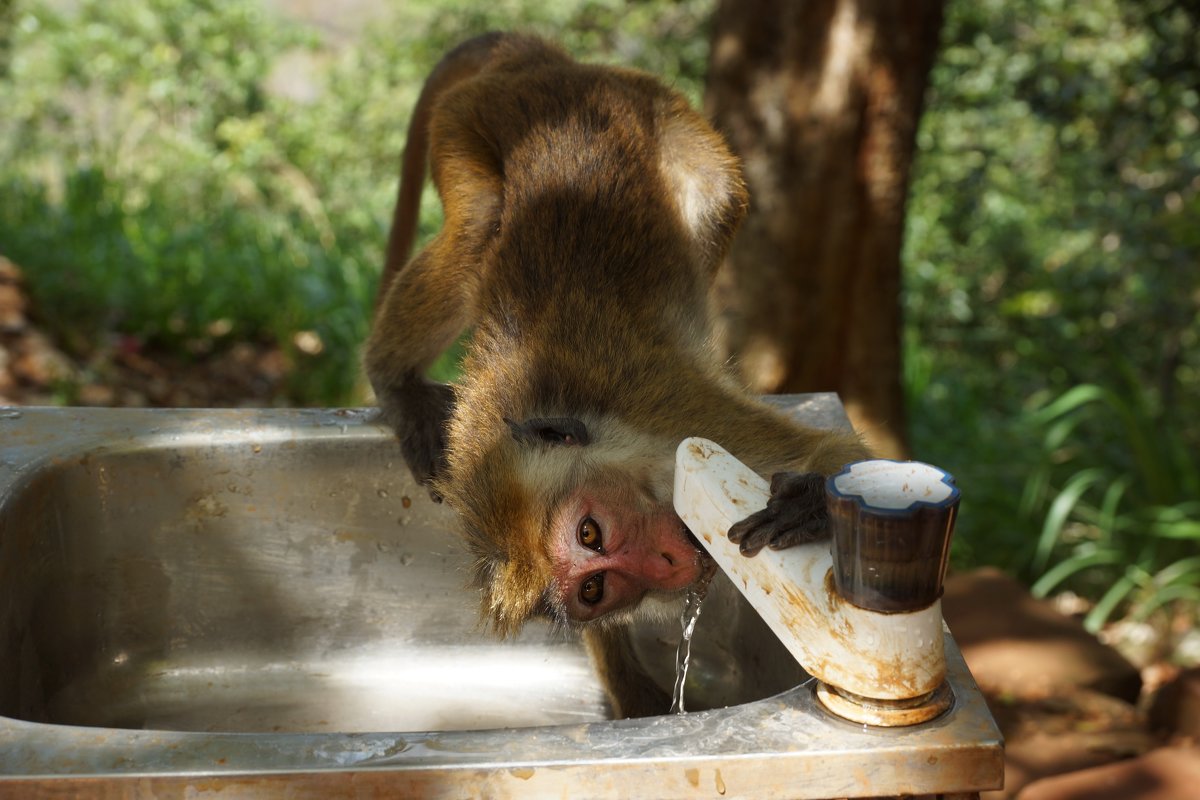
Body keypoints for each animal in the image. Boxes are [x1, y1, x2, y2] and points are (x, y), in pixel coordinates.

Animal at [364, 32, 873, 719]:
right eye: (595, 589)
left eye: (590, 530)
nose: (666, 562)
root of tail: (544, 63)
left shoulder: (668, 408)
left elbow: (841, 453)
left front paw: (815, 500)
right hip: (471, 124)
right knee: (481, 223)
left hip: (608, 107)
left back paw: (389, 377)